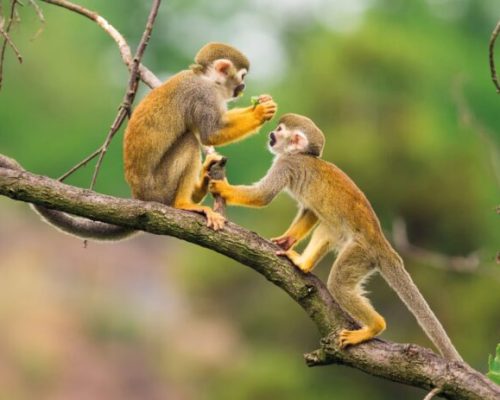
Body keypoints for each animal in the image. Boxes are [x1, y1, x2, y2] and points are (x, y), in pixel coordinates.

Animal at [21, 42, 278, 239]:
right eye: (242, 76)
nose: (243, 87)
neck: (207, 79)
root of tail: (140, 197)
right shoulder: (202, 96)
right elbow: (210, 133)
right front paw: (259, 111)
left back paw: (201, 184)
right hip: (160, 187)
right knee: (190, 141)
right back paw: (184, 203)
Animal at [209, 113, 462, 362]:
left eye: (279, 131)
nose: (271, 135)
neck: (300, 155)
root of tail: (382, 244)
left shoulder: (286, 165)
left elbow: (263, 196)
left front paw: (222, 188)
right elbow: (310, 211)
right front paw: (287, 240)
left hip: (361, 253)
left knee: (339, 283)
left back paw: (374, 327)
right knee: (327, 227)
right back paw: (303, 264)